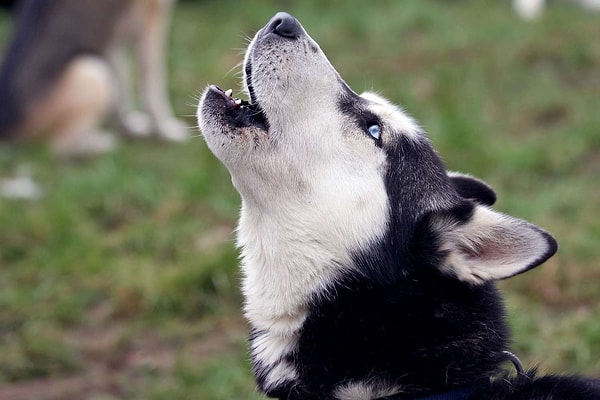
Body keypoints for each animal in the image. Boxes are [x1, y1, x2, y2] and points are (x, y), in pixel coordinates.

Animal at [0, 0, 188, 159]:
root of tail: (6, 129)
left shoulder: (116, 38)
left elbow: (122, 90)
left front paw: (128, 128)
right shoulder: (151, 24)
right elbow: (153, 88)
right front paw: (165, 132)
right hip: (92, 73)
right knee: (57, 147)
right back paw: (101, 144)